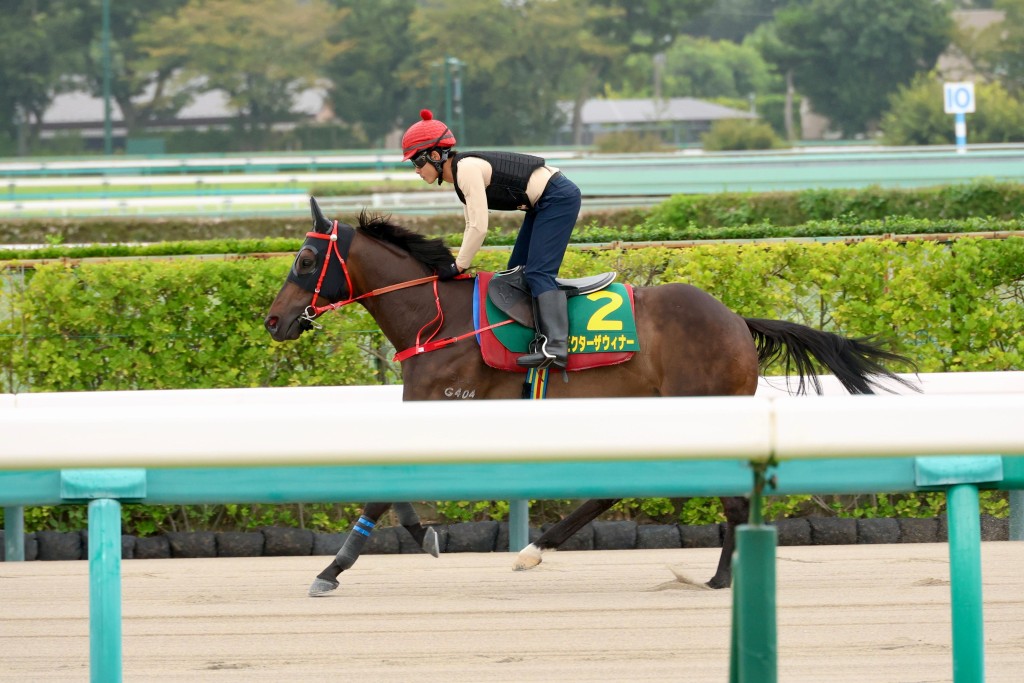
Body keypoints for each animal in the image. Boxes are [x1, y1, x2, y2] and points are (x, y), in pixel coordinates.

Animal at [266, 194, 921, 593]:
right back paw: (541, 549)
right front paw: (416, 537)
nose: (274, 321)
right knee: (618, 486)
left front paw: (334, 568)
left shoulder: (446, 406)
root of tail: (736, 319)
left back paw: (720, 579)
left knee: (726, 499)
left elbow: (381, 490)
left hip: (701, 408)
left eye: (305, 259)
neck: (438, 316)